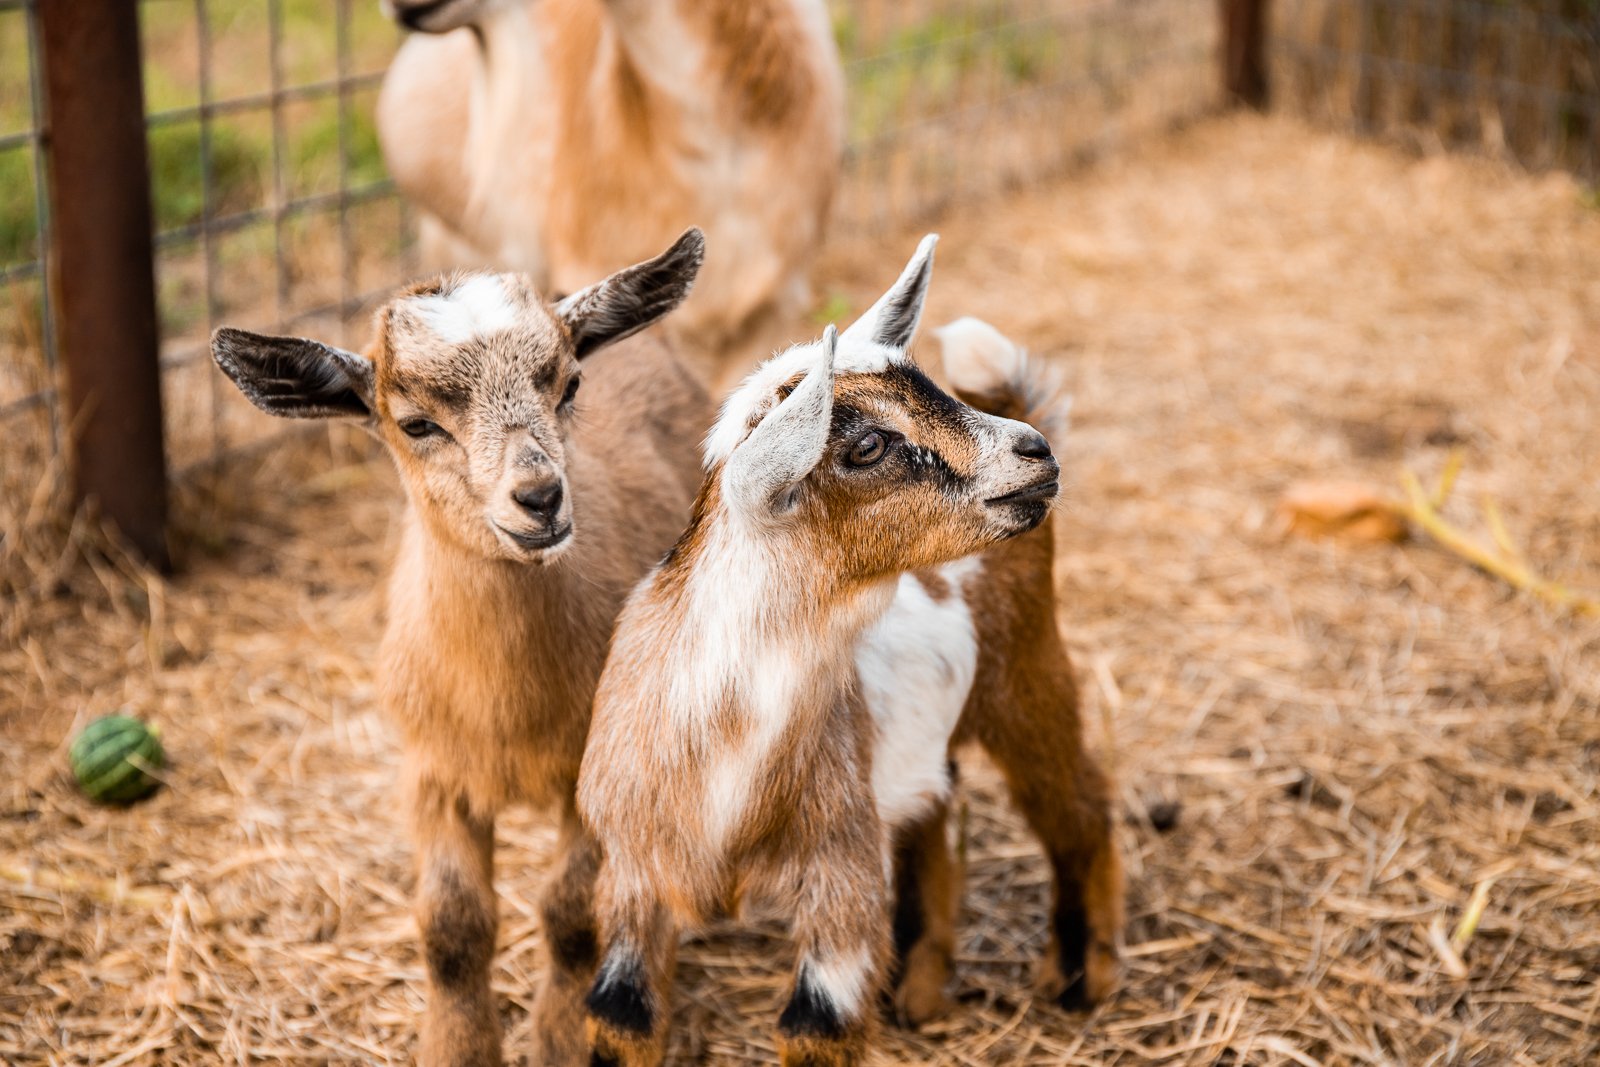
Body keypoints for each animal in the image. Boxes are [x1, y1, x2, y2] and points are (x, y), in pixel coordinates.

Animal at [209, 231, 710, 1067]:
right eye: (415, 424)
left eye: (570, 384)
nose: (540, 497)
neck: (507, 706)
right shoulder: (431, 768)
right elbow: (451, 924)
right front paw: (459, 1045)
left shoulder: (591, 767)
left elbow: (570, 911)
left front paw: (562, 1036)